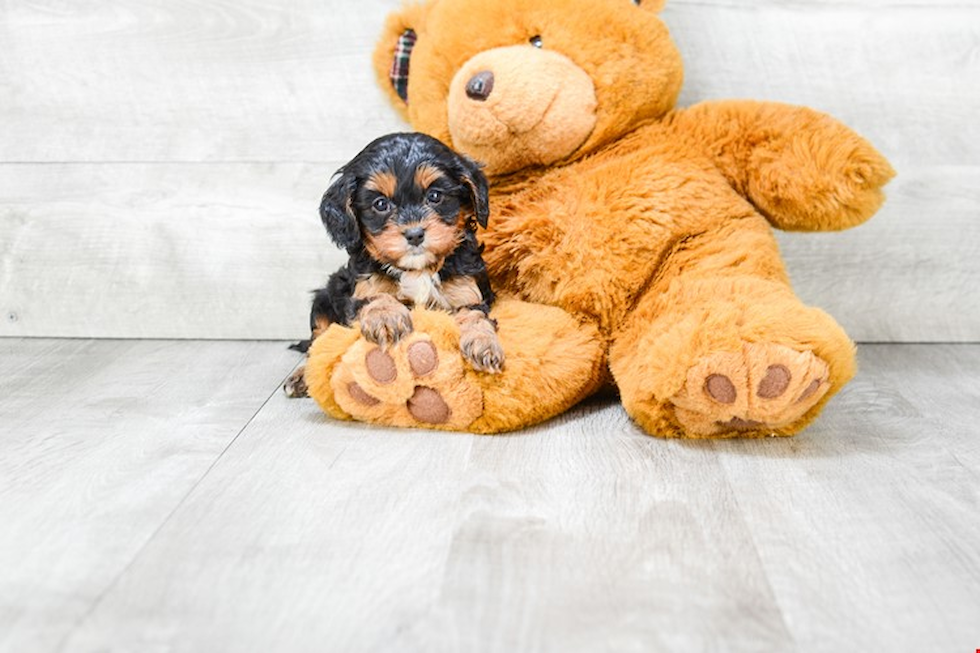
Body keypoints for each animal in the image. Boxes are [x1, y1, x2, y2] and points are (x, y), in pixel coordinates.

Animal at [282, 131, 498, 398]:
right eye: (380, 204)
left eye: (435, 196)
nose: (415, 234)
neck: (418, 270)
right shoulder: (363, 289)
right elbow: (377, 297)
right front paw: (386, 319)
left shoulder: (468, 293)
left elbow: (475, 316)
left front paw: (484, 344)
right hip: (325, 297)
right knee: (318, 342)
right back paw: (301, 376)